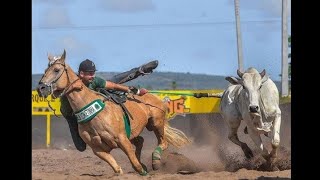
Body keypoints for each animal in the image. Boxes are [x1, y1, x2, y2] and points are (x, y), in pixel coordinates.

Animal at [36, 49, 191, 176]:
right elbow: (117, 168)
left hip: (156, 123)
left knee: (163, 142)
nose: (41, 88)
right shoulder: (97, 149)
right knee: (141, 141)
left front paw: (142, 169)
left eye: (56, 70)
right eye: (45, 69)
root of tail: (155, 98)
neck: (95, 114)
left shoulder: (122, 139)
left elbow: (134, 162)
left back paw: (156, 161)